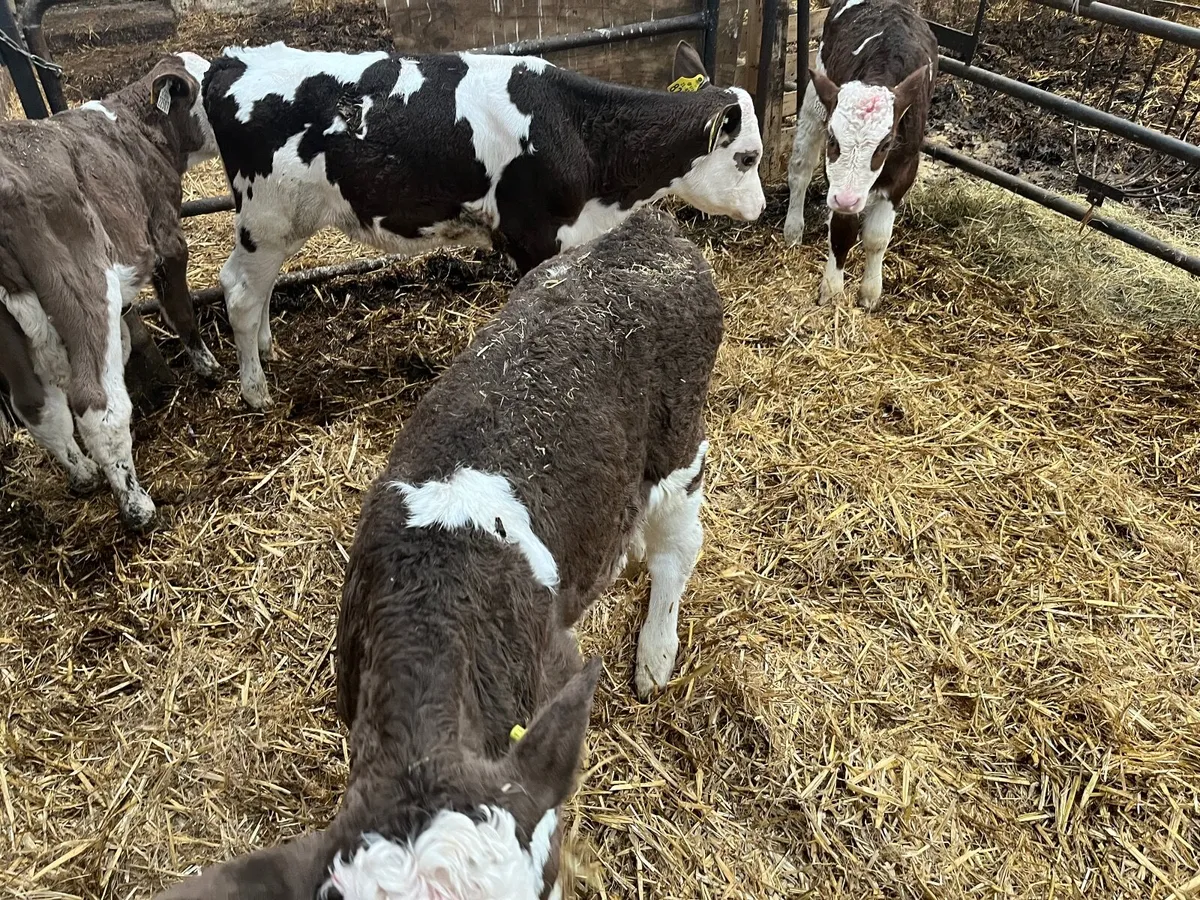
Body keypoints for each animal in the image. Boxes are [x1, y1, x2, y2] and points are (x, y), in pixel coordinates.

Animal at [0, 53, 220, 529]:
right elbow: (181, 309)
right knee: (94, 403)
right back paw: (136, 504)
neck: (137, 126)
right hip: (83, 284)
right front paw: (207, 365)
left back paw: (84, 474)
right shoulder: (167, 237)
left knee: (34, 402)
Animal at [152, 208, 721, 900]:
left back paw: (655, 654)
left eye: (542, 885)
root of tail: (648, 229)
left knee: (678, 546)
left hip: (679, 444)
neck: (433, 594)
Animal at [201, 39, 762, 409]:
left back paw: (269, 350)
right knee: (239, 291)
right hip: (265, 217)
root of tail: (231, 59)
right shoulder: (535, 238)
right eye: (748, 158)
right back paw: (255, 391)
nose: (758, 208)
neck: (576, 131)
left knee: (260, 288)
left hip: (280, 225)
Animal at [782, 0, 937, 311]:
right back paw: (793, 229)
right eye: (833, 138)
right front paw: (831, 291)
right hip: (815, 98)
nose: (847, 199)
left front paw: (870, 293)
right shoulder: (837, 180)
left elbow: (877, 237)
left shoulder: (904, 171)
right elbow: (843, 230)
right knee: (800, 170)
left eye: (885, 145)